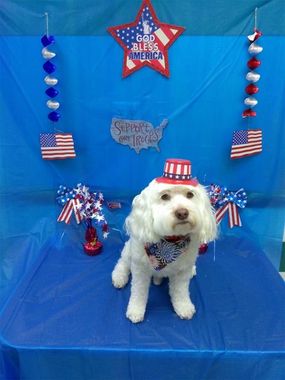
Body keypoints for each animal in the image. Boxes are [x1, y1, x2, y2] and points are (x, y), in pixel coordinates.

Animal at [112, 160, 216, 324]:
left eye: (190, 194)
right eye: (165, 196)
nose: (182, 212)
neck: (171, 242)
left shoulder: (182, 273)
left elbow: (180, 292)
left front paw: (183, 307)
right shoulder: (140, 269)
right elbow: (138, 292)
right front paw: (135, 310)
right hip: (129, 251)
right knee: (122, 263)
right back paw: (119, 277)